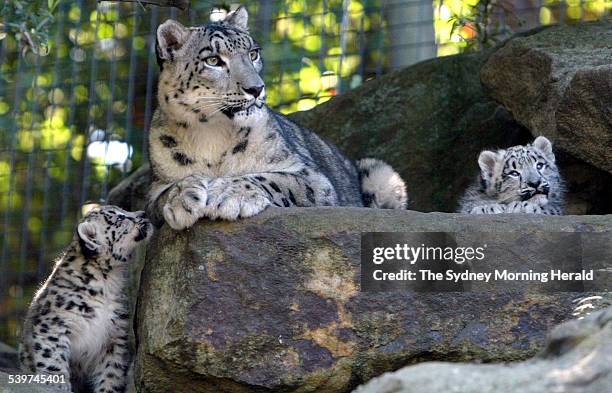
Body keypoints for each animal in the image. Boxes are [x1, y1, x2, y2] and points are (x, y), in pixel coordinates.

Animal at [19, 207, 153, 390]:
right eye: (119, 218)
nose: (143, 213)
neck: (107, 281)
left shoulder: (115, 335)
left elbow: (111, 372)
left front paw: (107, 389)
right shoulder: (54, 323)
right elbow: (52, 355)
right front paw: (56, 384)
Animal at [146, 6, 408, 230]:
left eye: (253, 53)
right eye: (213, 60)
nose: (256, 88)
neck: (212, 134)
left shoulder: (312, 177)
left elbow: (274, 179)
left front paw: (228, 193)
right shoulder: (154, 189)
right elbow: (164, 194)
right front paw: (183, 197)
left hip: (380, 173)